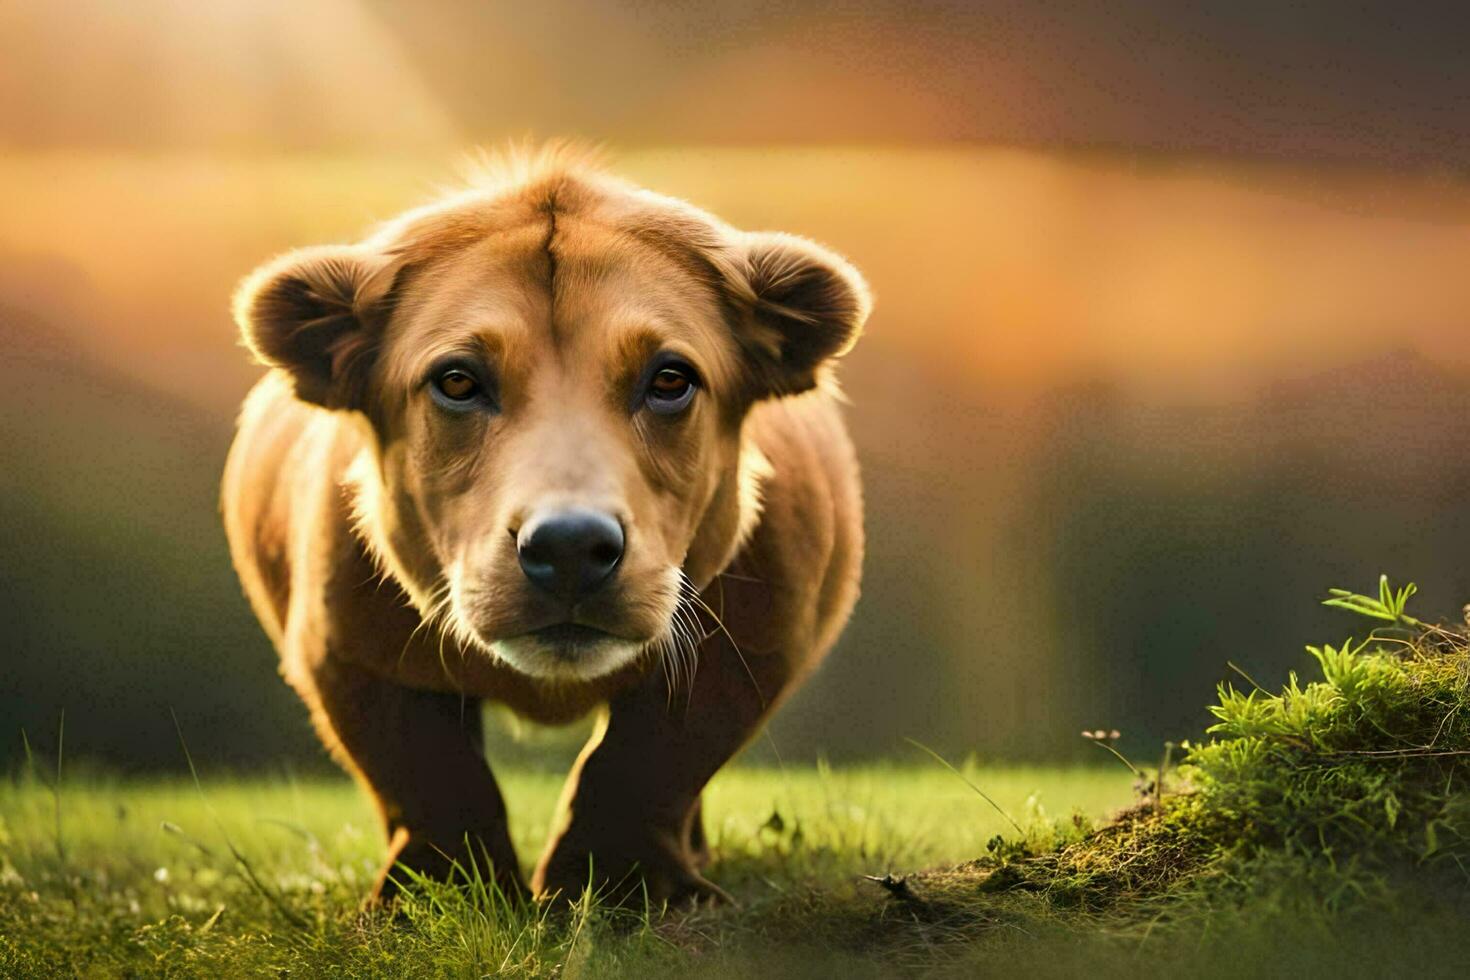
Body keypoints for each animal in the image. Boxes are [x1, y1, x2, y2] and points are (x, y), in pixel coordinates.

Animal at [221, 149, 864, 910]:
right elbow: (429, 774)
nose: (569, 548)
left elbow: (649, 760)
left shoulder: (754, 644)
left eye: (669, 379)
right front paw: (438, 893)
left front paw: (621, 884)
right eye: (458, 381)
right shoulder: (346, 648)